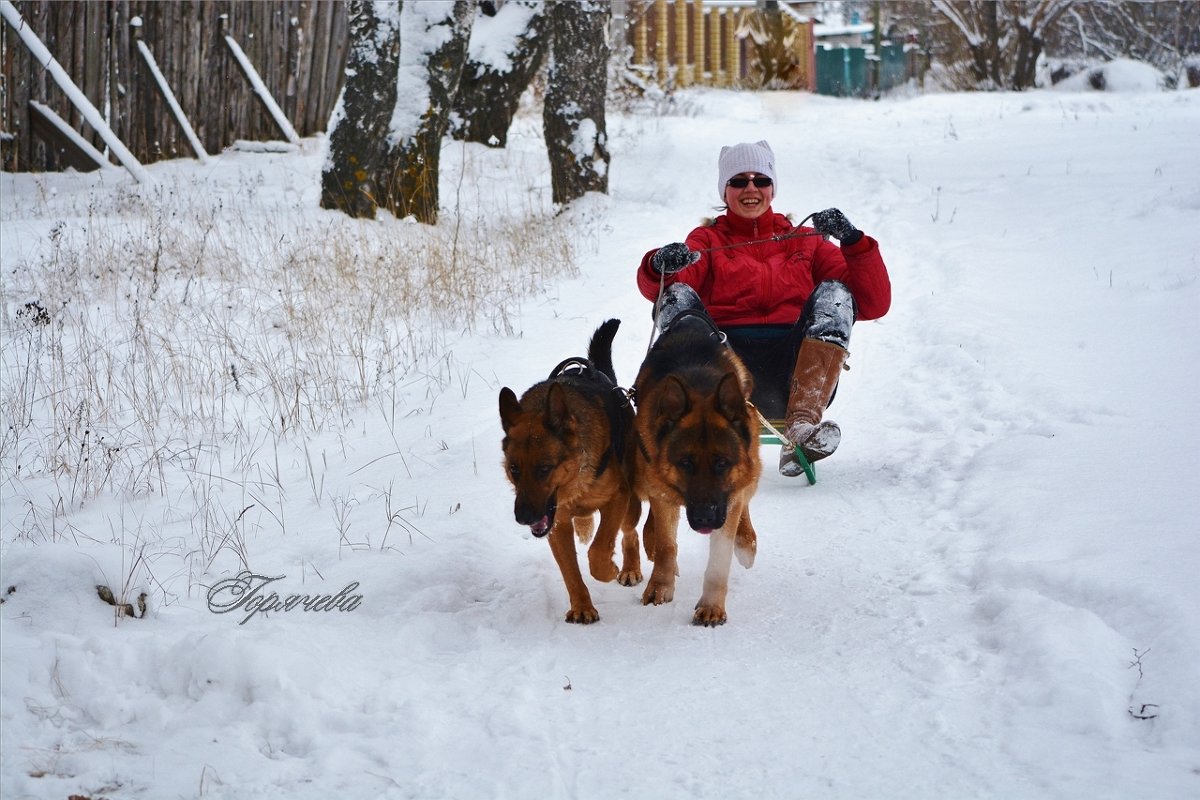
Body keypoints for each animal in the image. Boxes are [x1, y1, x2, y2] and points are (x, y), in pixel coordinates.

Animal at [501, 319, 643, 623]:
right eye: (514, 469)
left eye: (544, 468)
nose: (523, 517)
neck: (575, 478)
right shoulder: (557, 525)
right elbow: (570, 572)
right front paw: (582, 607)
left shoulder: (617, 499)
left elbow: (599, 551)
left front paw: (609, 569)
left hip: (630, 504)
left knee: (630, 532)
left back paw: (629, 568)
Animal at [633, 311, 763, 623]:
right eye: (685, 463)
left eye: (722, 463)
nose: (705, 518)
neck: (698, 386)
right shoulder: (661, 492)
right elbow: (666, 545)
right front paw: (660, 585)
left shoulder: (727, 500)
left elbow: (719, 558)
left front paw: (712, 605)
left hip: (750, 473)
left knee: (744, 500)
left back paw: (746, 541)